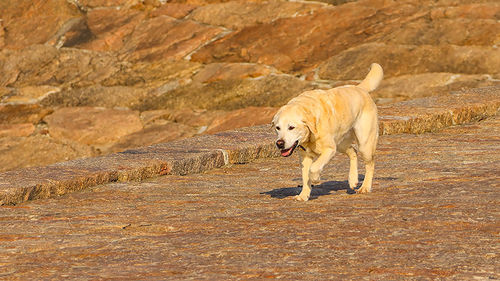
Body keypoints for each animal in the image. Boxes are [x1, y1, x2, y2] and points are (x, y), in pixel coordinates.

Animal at [272, 62, 380, 200]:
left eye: (291, 127)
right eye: (277, 128)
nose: (279, 143)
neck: (311, 135)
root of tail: (359, 88)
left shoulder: (329, 149)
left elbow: (313, 169)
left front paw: (315, 178)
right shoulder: (304, 156)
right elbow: (305, 176)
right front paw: (303, 195)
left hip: (364, 144)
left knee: (370, 163)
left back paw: (365, 187)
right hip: (341, 144)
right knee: (353, 151)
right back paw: (352, 179)